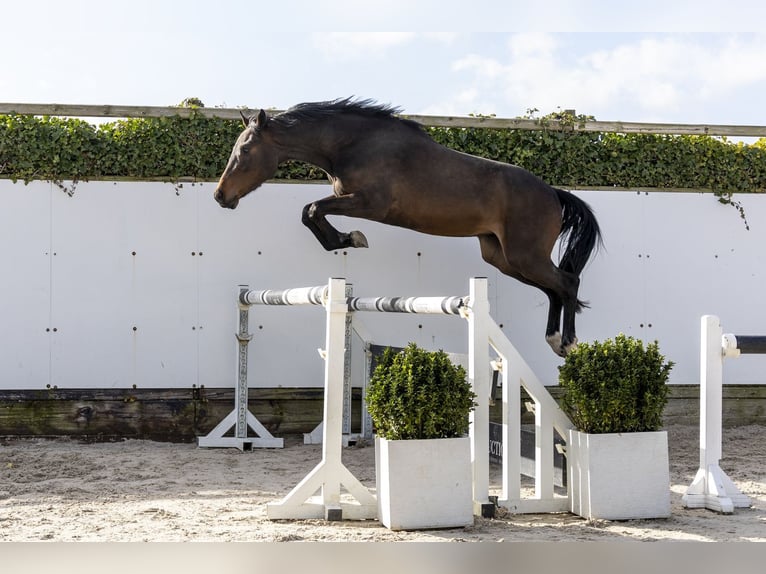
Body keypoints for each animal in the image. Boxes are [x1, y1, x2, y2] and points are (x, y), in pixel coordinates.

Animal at [214, 98, 602, 357]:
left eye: (244, 151)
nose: (221, 196)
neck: (351, 145)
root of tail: (552, 193)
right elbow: (310, 213)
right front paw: (346, 238)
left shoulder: (370, 203)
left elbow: (311, 209)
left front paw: (351, 238)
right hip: (503, 258)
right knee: (554, 289)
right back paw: (554, 341)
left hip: (524, 256)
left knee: (567, 282)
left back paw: (568, 343)